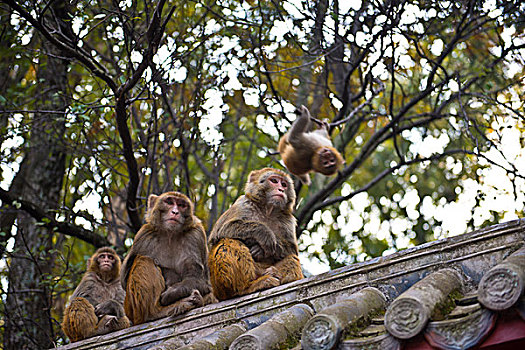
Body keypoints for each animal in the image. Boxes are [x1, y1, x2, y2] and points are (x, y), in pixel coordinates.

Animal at [119, 191, 216, 326]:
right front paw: (170, 275)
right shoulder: (144, 235)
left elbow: (199, 280)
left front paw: (172, 292)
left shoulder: (196, 235)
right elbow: (124, 278)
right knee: (144, 260)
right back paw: (154, 313)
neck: (170, 234)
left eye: (181, 205)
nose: (175, 212)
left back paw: (196, 301)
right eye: (169, 202)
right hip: (131, 311)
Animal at [206, 167, 300, 300]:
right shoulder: (243, 204)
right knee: (227, 242)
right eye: (274, 181)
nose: (281, 189)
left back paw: (274, 273)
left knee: (292, 258)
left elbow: (292, 250)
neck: (267, 210)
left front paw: (260, 250)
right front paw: (264, 233)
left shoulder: (288, 220)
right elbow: (220, 231)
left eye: (284, 184)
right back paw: (247, 287)